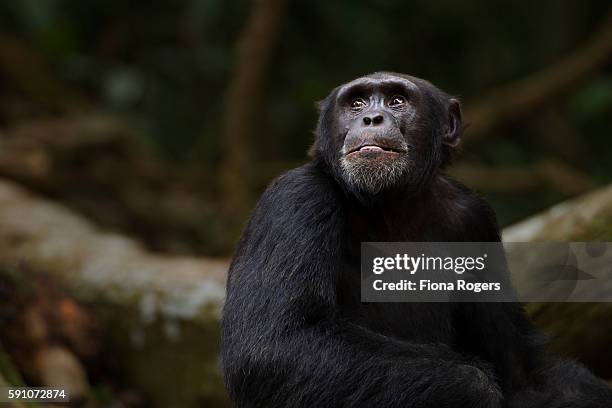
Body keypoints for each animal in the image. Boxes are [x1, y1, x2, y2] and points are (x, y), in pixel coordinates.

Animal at [220, 71, 612, 406]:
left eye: (396, 100)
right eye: (356, 103)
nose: (372, 118)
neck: (390, 207)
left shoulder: (474, 220)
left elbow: (522, 376)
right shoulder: (294, 200)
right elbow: (275, 345)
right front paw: (475, 390)